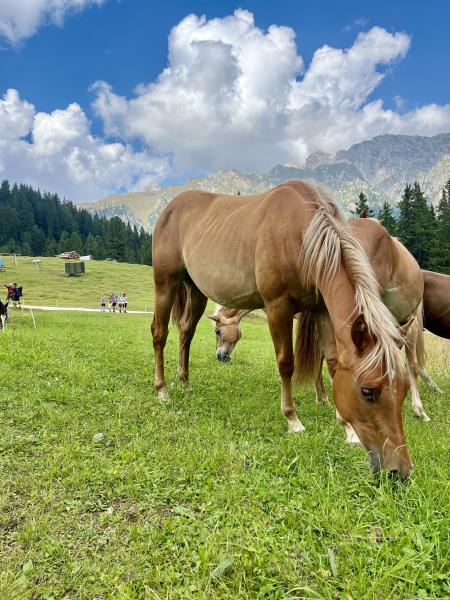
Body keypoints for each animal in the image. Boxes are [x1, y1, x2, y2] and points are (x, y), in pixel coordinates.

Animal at [153, 182, 414, 478]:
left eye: (404, 389)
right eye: (368, 391)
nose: (401, 471)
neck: (301, 236)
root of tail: (171, 207)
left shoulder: (322, 309)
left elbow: (333, 363)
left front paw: (346, 428)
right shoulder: (278, 307)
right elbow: (286, 363)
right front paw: (292, 419)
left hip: (196, 290)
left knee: (186, 332)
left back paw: (184, 382)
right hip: (166, 283)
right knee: (159, 334)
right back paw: (162, 390)